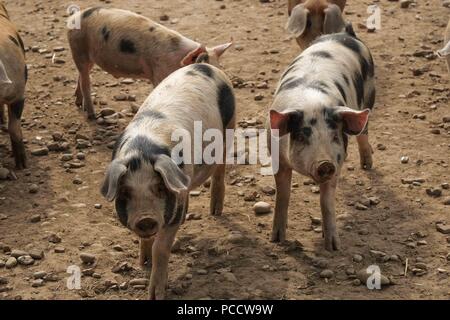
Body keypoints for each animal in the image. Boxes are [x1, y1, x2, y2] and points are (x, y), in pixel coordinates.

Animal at [69, 7, 236, 120]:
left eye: (220, 69)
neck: (178, 61)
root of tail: (74, 17)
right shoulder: (159, 73)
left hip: (87, 56)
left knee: (81, 75)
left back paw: (78, 102)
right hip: (78, 48)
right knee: (85, 81)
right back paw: (92, 115)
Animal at [101, 63, 236, 300]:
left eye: (159, 187)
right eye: (125, 192)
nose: (146, 219)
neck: (142, 150)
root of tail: (204, 64)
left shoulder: (174, 207)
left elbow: (161, 247)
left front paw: (155, 295)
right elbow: (147, 241)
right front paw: (143, 262)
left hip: (229, 128)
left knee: (220, 170)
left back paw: (215, 211)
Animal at [268, 24, 374, 250]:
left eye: (334, 136)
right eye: (302, 136)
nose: (325, 163)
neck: (311, 104)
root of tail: (345, 33)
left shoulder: (338, 160)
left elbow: (327, 201)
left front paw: (333, 246)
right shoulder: (277, 157)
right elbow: (283, 194)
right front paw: (277, 239)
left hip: (369, 95)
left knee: (364, 133)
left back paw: (367, 165)